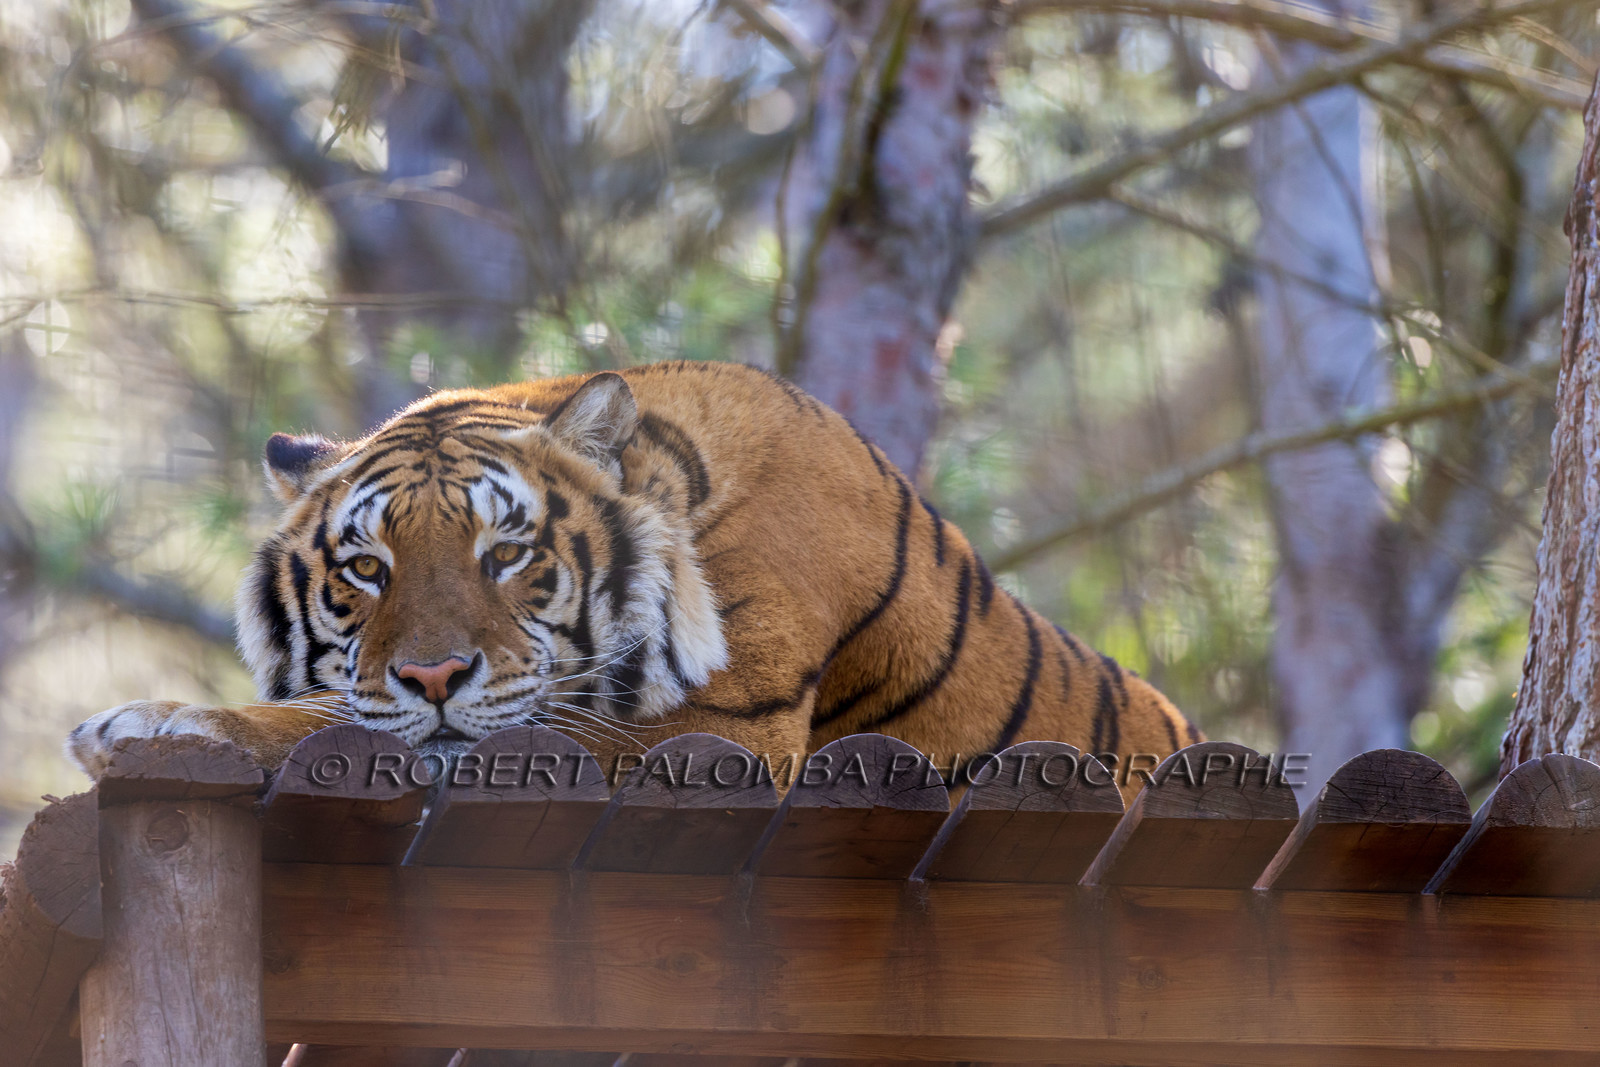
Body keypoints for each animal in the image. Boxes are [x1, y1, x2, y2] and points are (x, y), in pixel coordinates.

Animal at [67, 360, 1200, 796]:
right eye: (365, 567)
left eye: (506, 553)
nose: (432, 677)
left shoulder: (713, 734)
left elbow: (328, 720)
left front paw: (155, 720)